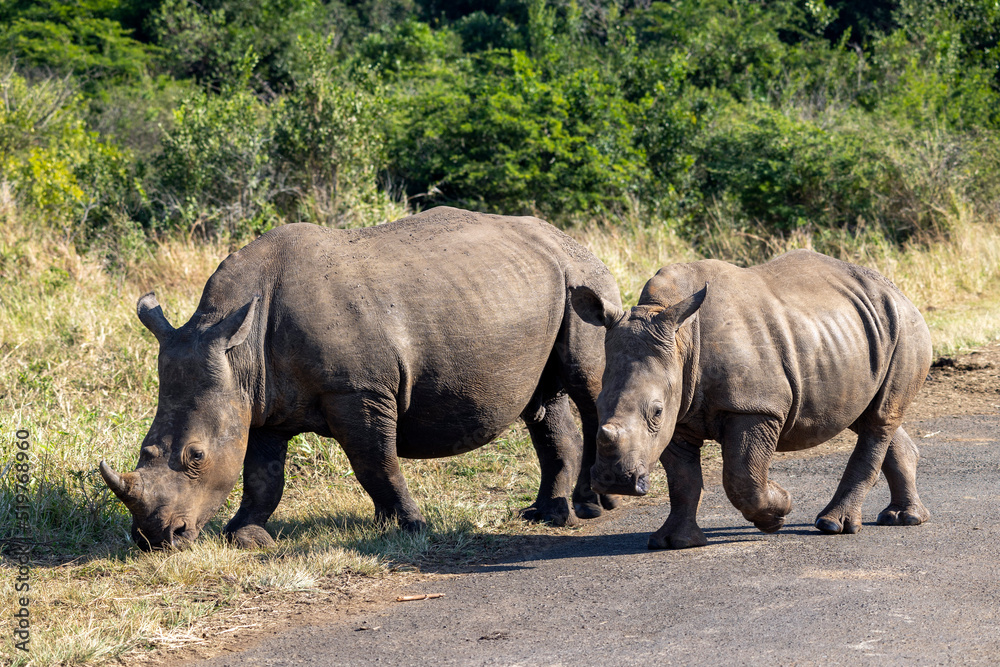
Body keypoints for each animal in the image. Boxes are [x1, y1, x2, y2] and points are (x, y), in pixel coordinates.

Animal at [100, 207, 621, 550]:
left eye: (196, 456)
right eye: (145, 449)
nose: (156, 539)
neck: (239, 349)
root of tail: (573, 239)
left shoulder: (358, 390)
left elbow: (375, 462)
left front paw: (409, 529)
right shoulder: (263, 401)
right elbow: (262, 474)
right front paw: (245, 537)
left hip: (585, 280)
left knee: (587, 387)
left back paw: (594, 506)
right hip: (537, 285)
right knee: (544, 402)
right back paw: (547, 516)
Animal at [571, 249, 932, 549]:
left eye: (656, 412)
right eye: (599, 405)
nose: (615, 481)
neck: (682, 339)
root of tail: (898, 292)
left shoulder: (755, 407)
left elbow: (742, 475)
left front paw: (778, 511)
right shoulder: (680, 413)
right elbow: (683, 481)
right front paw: (674, 542)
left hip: (905, 326)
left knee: (878, 419)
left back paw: (834, 525)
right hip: (853, 334)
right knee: (865, 413)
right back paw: (904, 518)